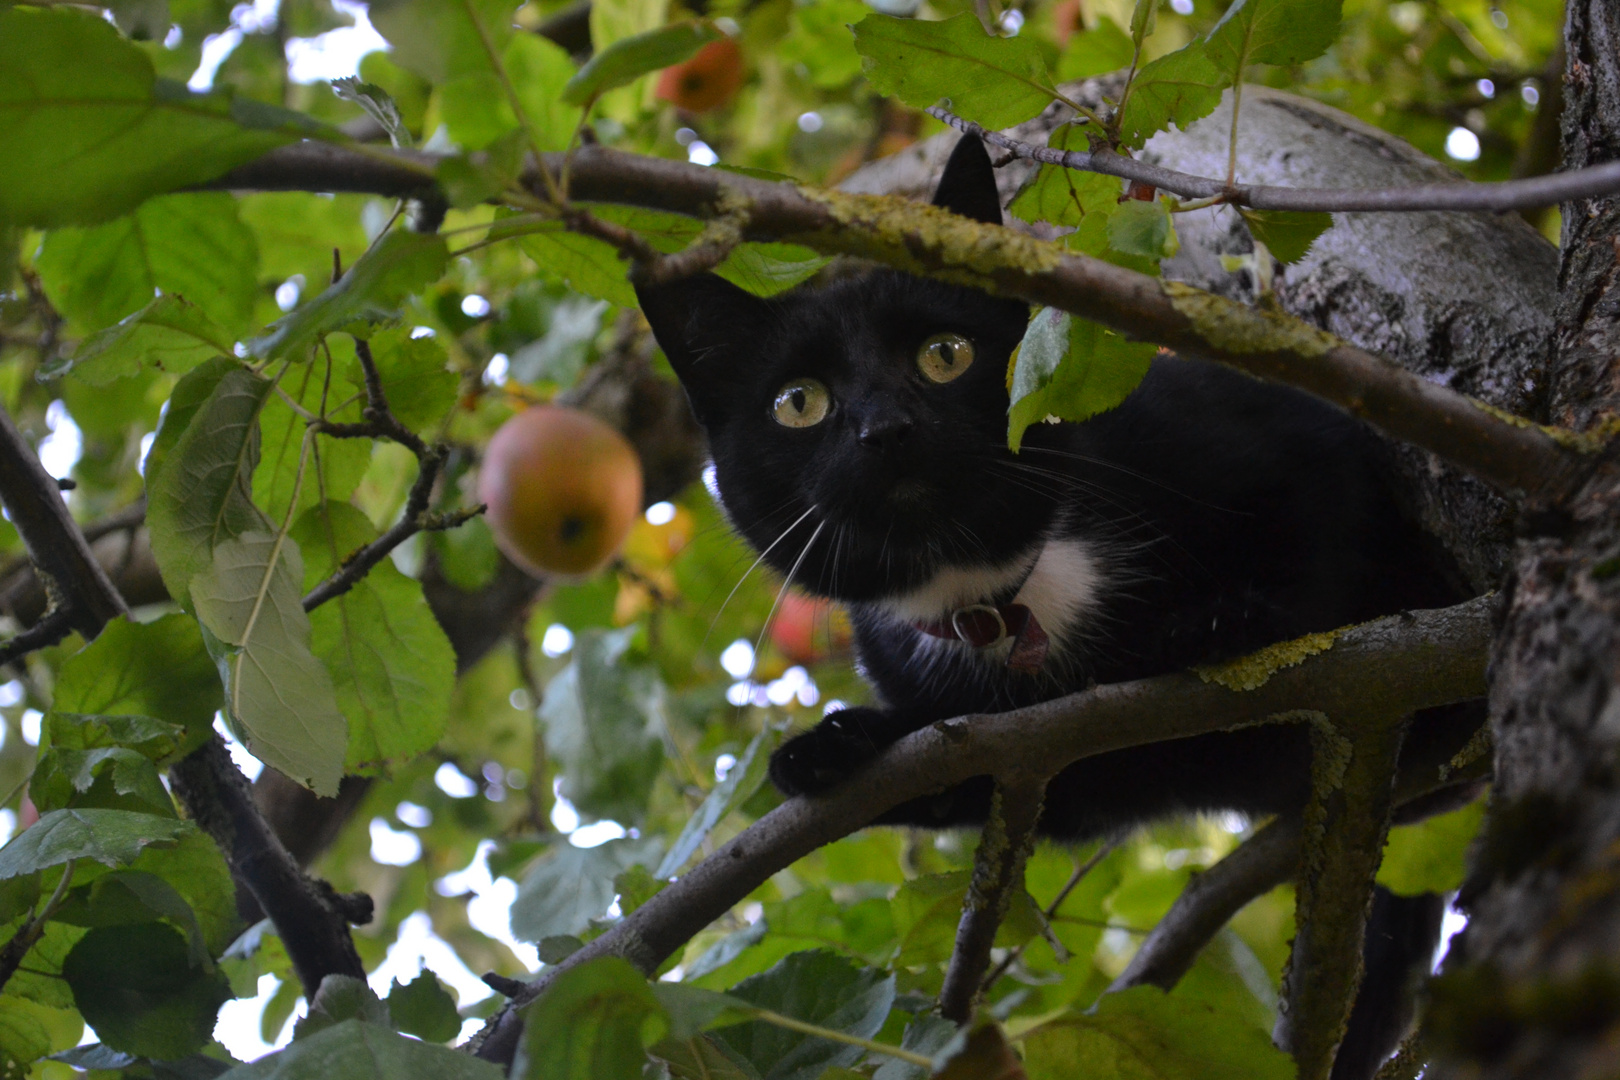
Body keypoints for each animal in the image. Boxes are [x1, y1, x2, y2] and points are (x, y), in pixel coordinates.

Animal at [638, 135, 1477, 1080]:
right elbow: (969, 753)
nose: (885, 428)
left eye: (946, 354)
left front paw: (1235, 625)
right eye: (799, 403)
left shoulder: (1272, 436)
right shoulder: (1060, 769)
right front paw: (834, 747)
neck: (1002, 595)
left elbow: (1325, 554)